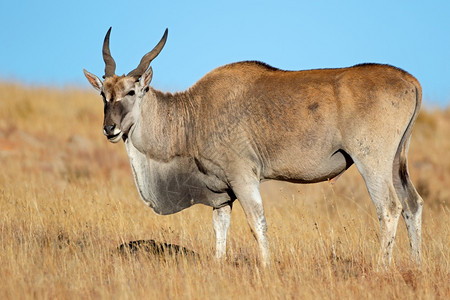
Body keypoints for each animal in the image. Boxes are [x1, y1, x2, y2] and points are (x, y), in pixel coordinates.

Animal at [82, 28, 424, 268]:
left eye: (131, 91)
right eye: (103, 94)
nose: (110, 129)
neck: (192, 114)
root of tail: (411, 81)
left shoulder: (243, 178)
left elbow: (258, 223)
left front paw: (266, 266)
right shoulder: (222, 194)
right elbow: (220, 229)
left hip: (372, 163)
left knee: (389, 208)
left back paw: (382, 268)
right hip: (396, 164)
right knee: (412, 204)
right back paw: (416, 266)